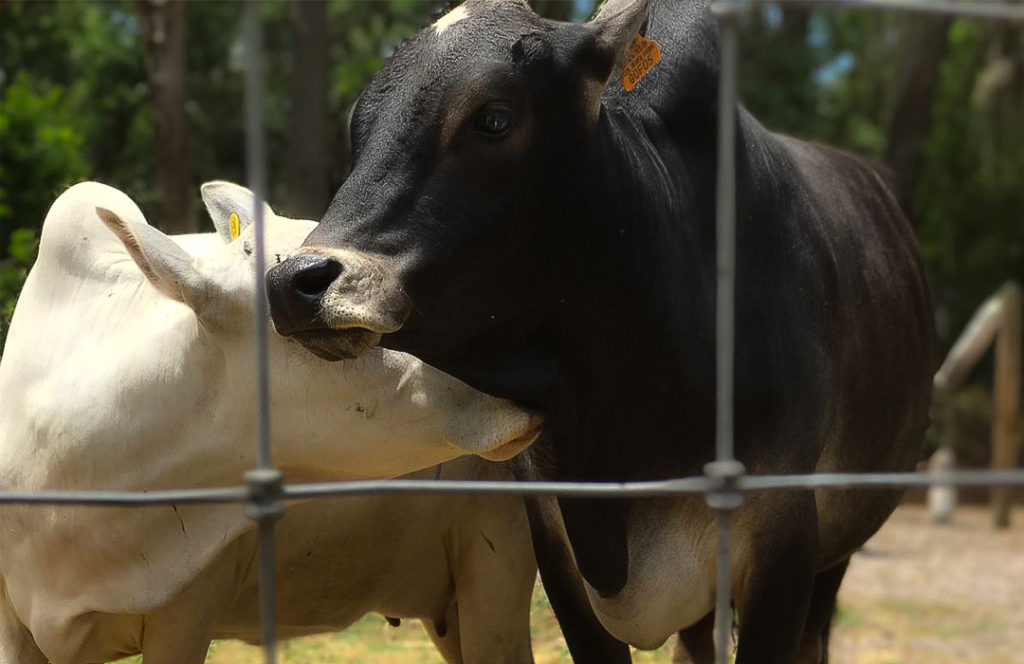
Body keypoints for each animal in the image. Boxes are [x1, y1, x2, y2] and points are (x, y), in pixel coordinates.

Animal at [264, 0, 936, 662]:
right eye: (359, 128)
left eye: (494, 119)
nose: (296, 282)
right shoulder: (560, 553)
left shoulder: (783, 543)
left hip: (836, 553)